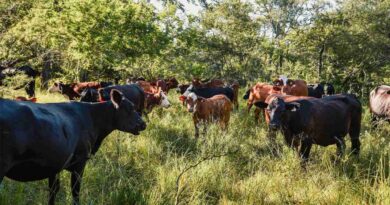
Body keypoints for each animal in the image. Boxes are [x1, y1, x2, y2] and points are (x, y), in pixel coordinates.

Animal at [0, 90, 146, 205]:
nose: (143, 124)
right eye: (131, 108)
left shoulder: (55, 163)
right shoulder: (80, 161)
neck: (92, 117)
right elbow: (75, 191)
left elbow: (53, 191)